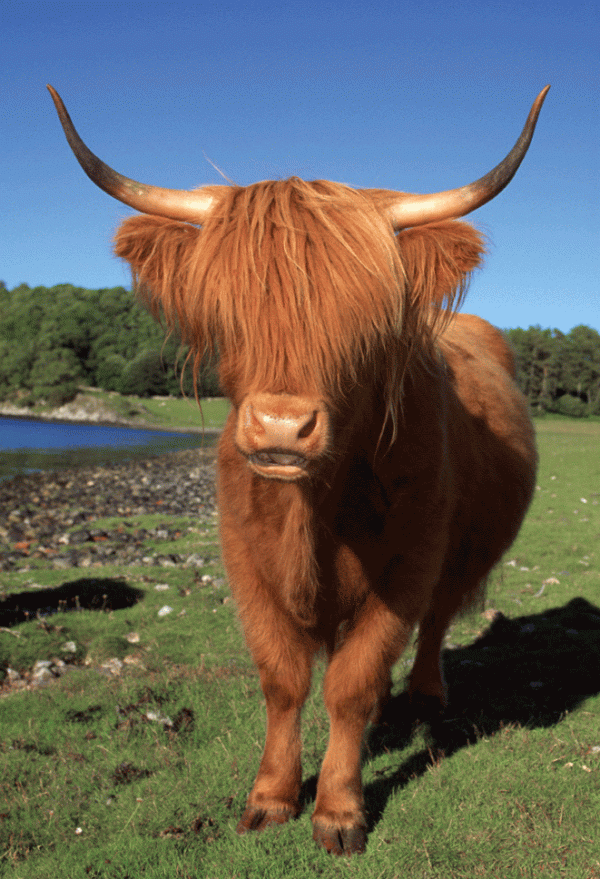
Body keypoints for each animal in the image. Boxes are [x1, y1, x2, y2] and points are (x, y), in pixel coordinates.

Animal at [48, 84, 548, 855]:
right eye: (227, 309)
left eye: (363, 321)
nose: (282, 426)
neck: (313, 515)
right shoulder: (245, 559)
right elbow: (283, 679)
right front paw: (272, 797)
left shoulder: (408, 564)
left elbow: (351, 682)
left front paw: (339, 810)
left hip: (461, 554)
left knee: (436, 623)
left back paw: (426, 692)